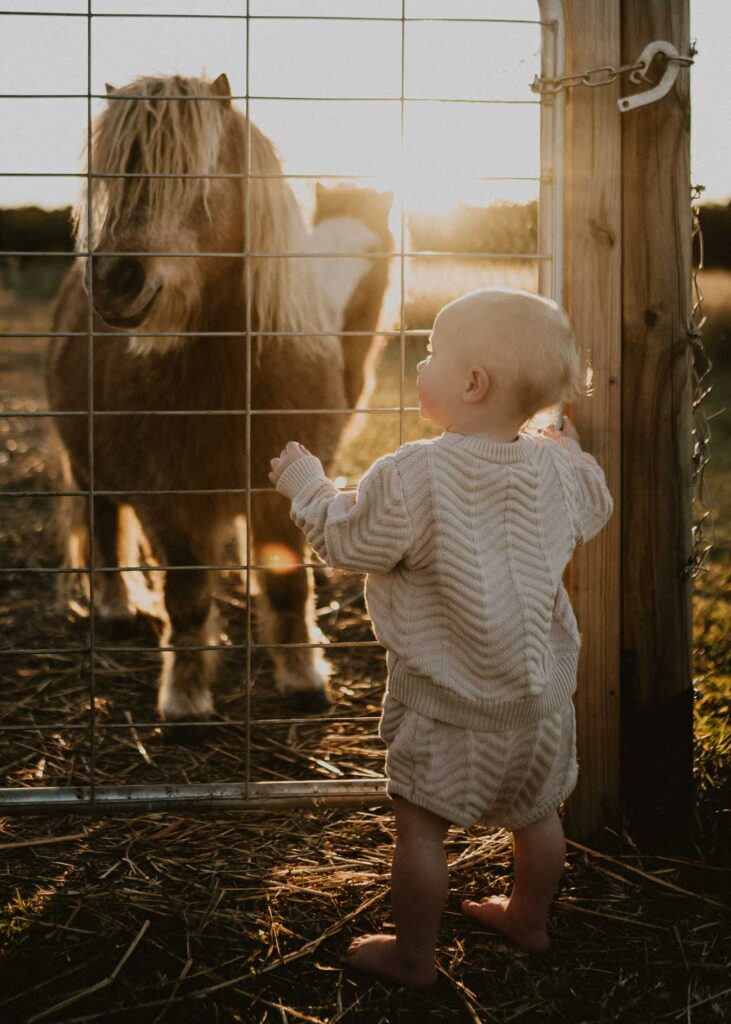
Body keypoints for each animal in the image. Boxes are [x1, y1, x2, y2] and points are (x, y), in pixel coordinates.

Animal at [46, 74, 391, 732]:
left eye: (194, 173)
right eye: (113, 175)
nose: (115, 280)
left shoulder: (278, 497)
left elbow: (287, 588)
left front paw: (304, 680)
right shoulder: (169, 502)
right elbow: (187, 597)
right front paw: (184, 699)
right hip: (87, 465)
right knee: (103, 526)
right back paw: (116, 609)